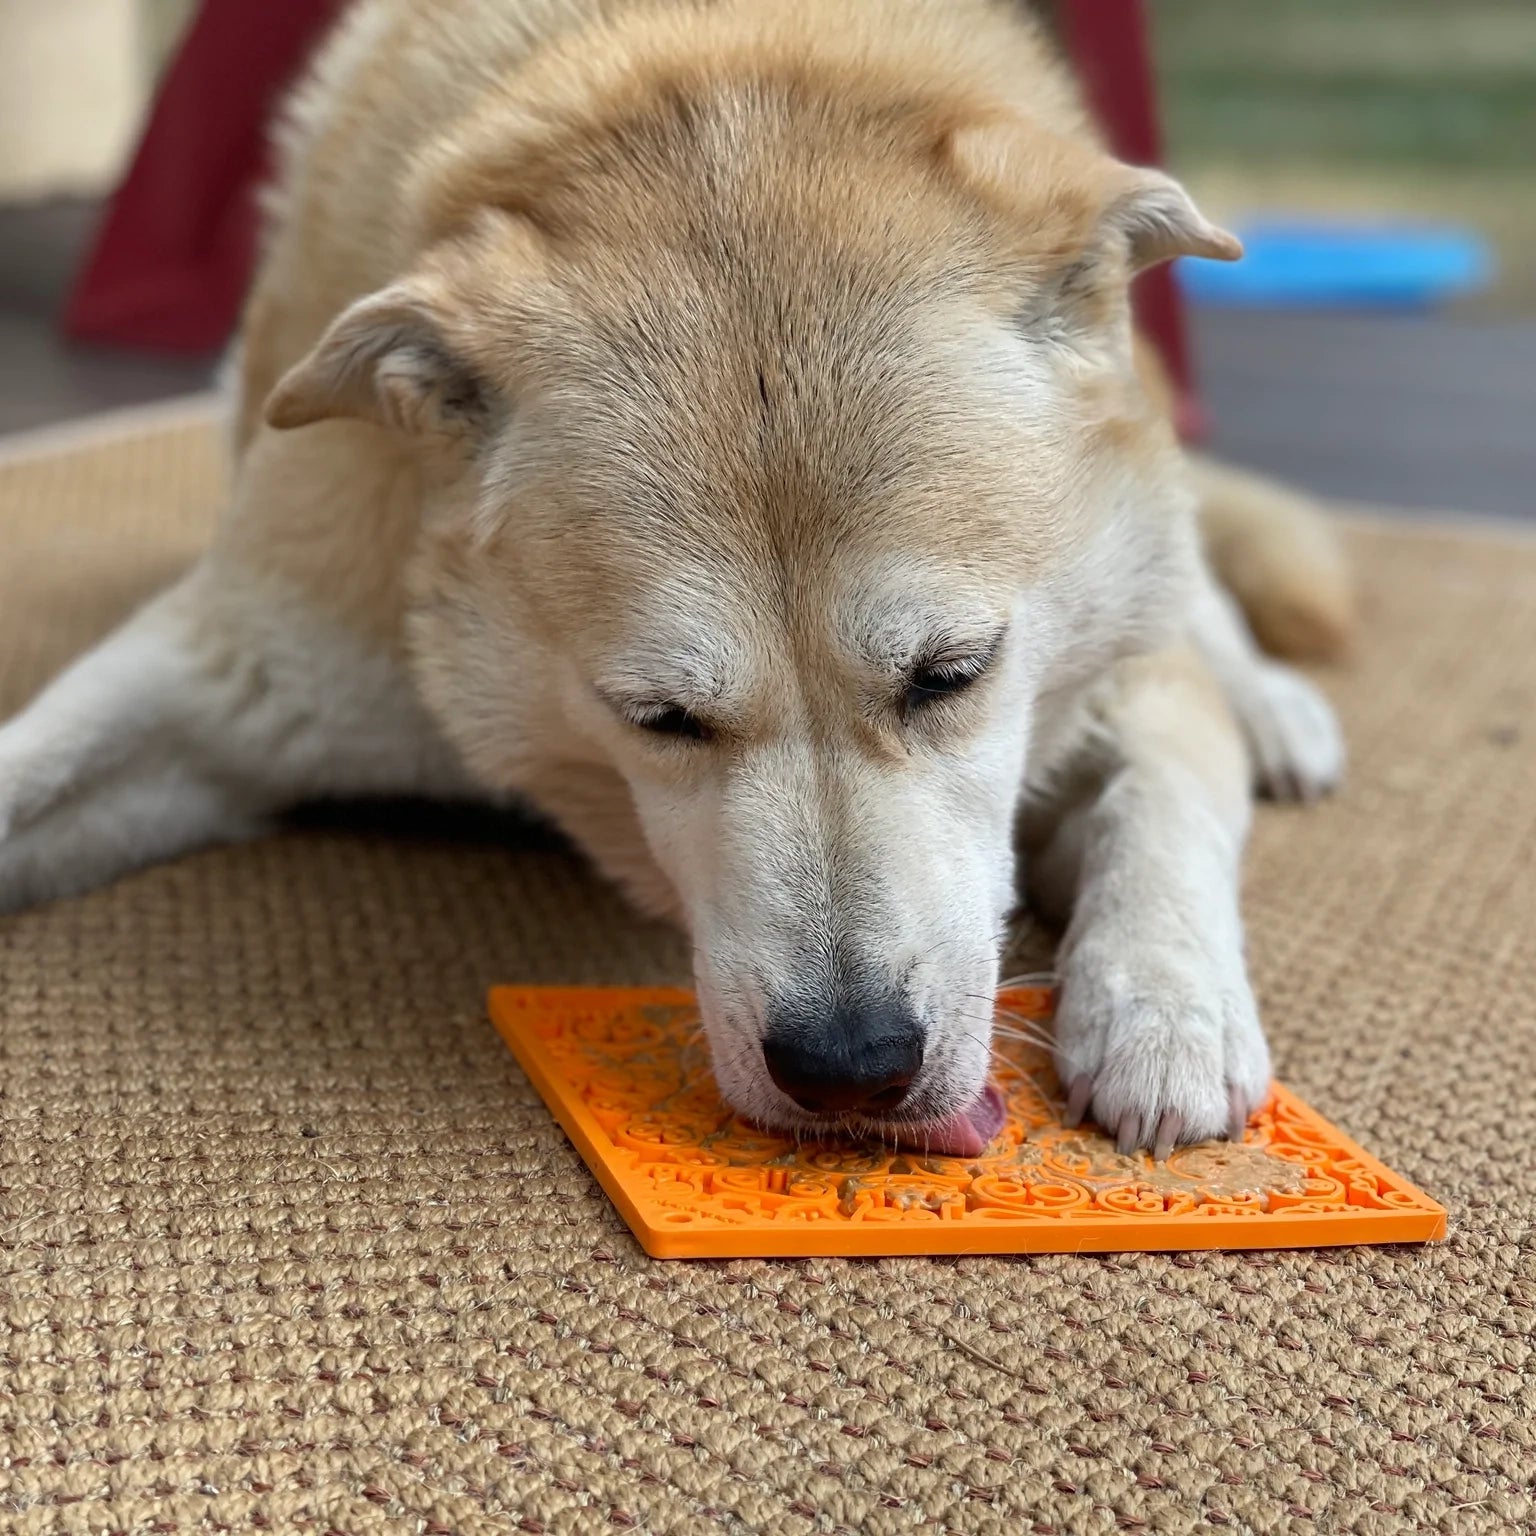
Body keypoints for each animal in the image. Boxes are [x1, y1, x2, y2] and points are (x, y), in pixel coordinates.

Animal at [0, 0, 1351, 1155]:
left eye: (951, 675)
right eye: (659, 718)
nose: (850, 1068)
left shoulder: (1101, 672)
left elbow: (1163, 786)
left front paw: (1163, 1007)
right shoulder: (250, 662)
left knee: (1200, 600)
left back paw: (1276, 706)